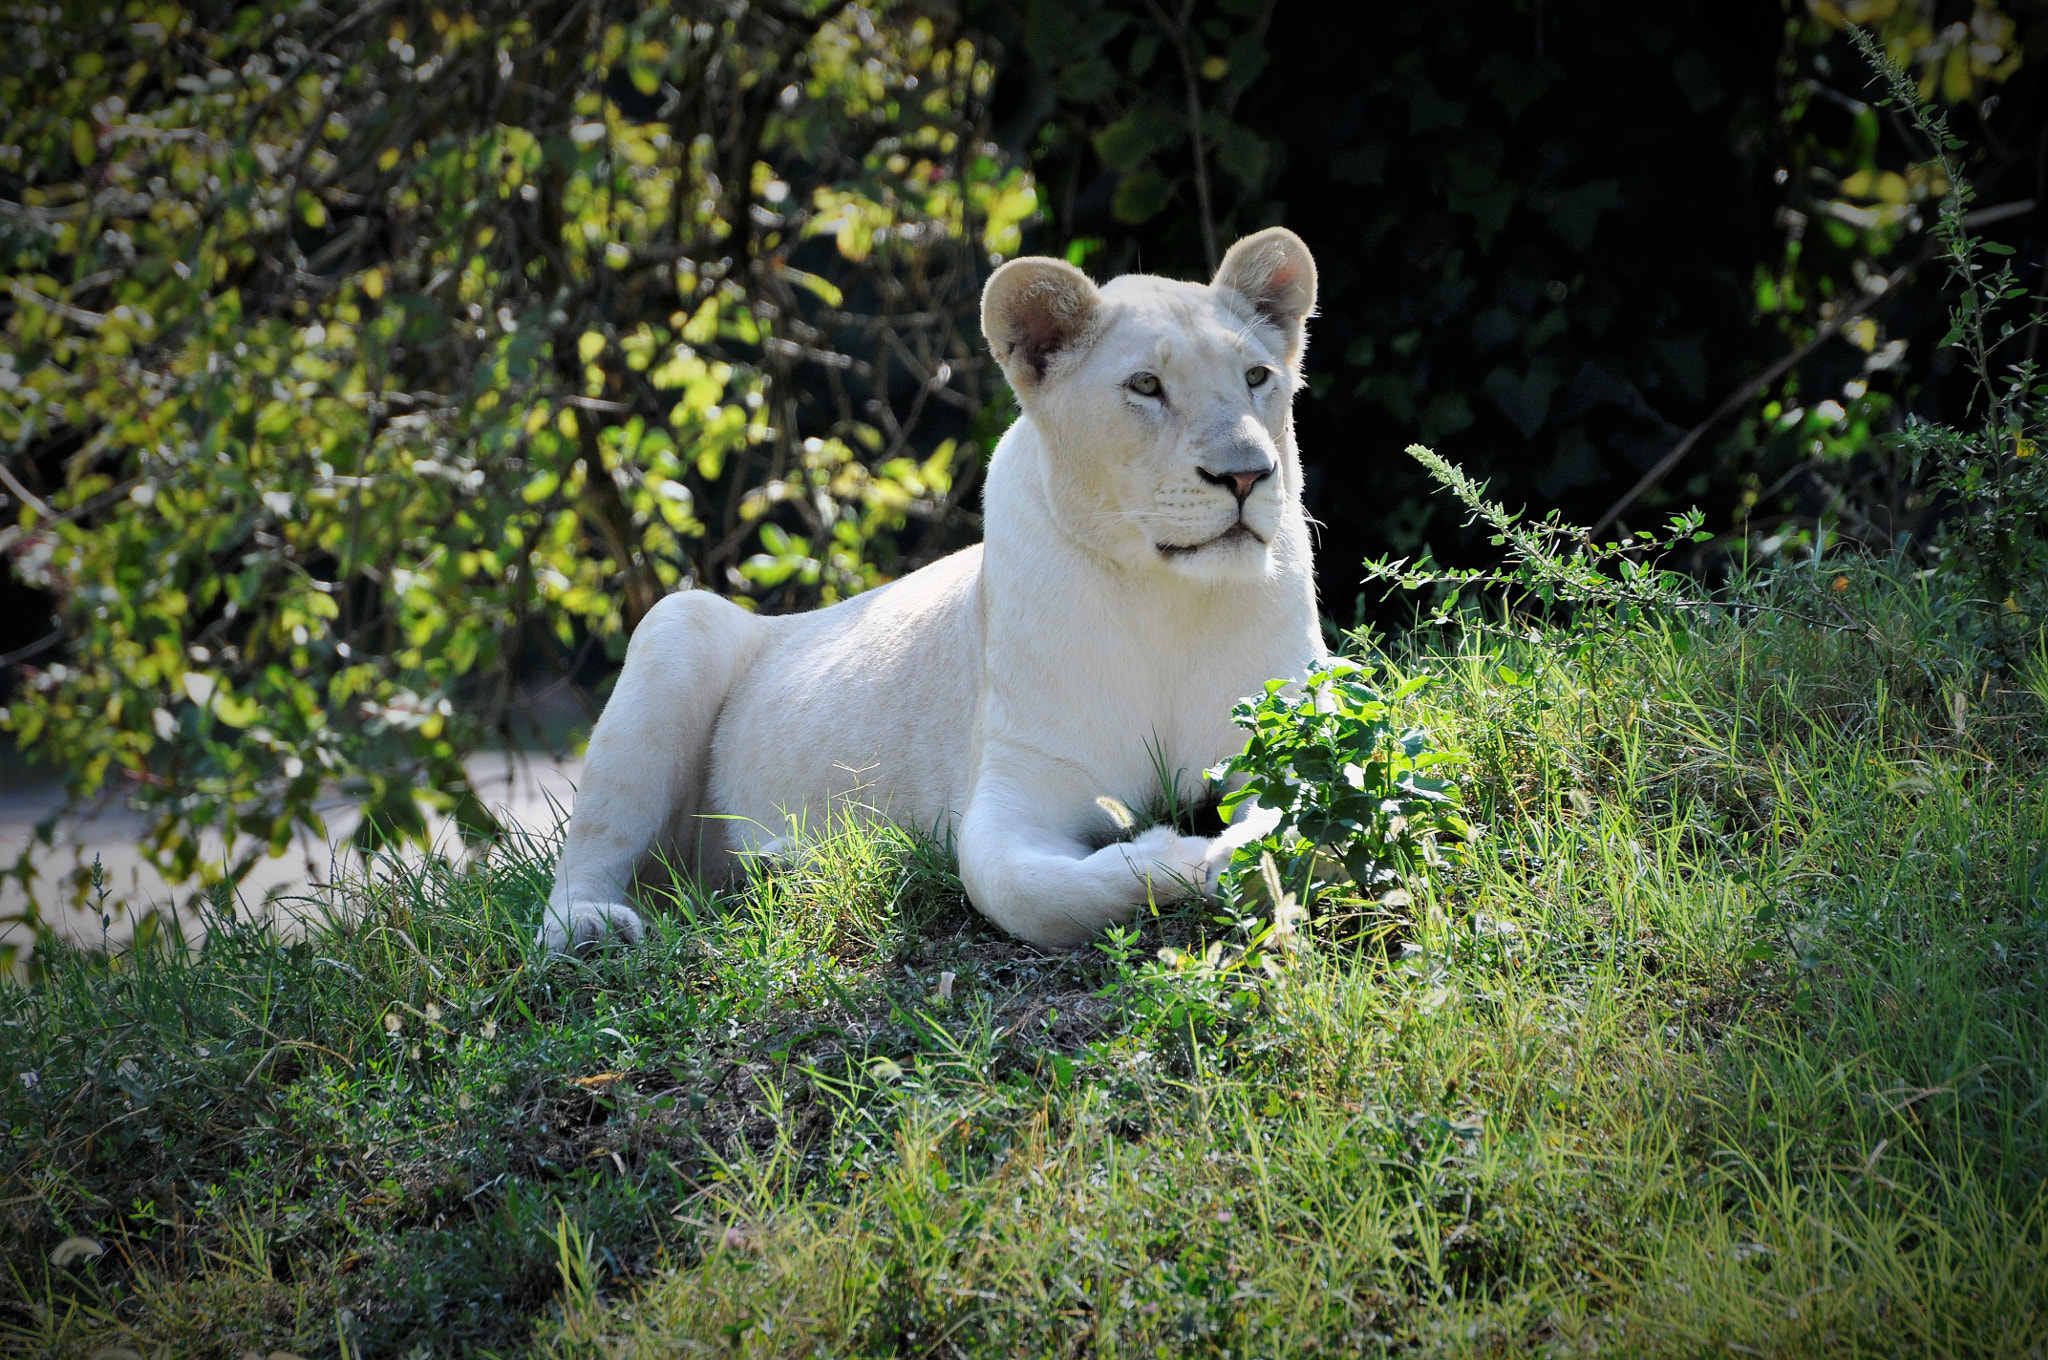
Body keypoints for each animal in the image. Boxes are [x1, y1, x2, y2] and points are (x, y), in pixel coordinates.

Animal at [541, 227, 1324, 953]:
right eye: (1145, 386)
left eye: (1256, 376)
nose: (1247, 474)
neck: (1169, 600)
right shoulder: (1014, 790)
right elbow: (1026, 890)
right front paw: (1184, 855)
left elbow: (1304, 807)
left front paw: (1238, 852)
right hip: (678, 621)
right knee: (580, 866)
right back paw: (596, 924)